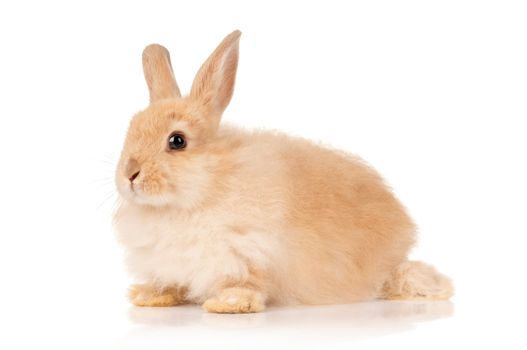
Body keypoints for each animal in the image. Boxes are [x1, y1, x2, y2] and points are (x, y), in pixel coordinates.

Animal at [114, 30, 454, 314]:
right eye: (131, 130)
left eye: (177, 141)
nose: (130, 174)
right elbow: (172, 282)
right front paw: (149, 296)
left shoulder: (249, 251)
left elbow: (249, 282)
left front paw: (229, 303)